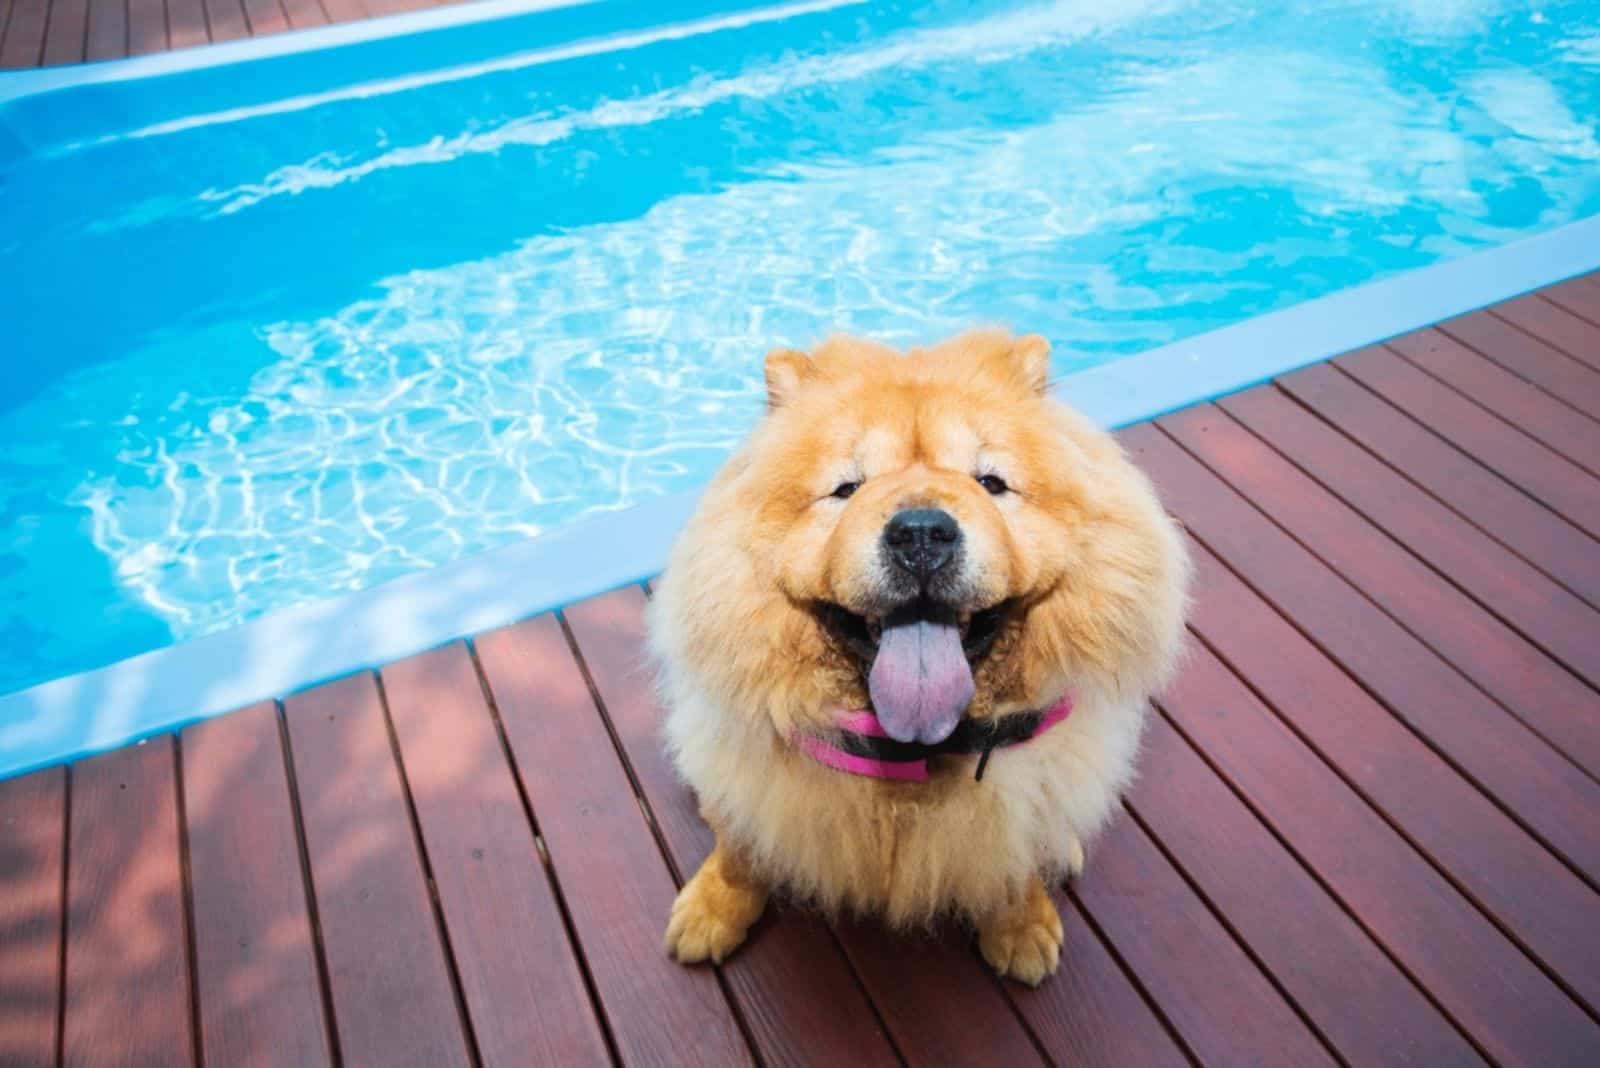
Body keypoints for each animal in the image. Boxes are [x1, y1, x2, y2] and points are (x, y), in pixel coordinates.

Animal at [646, 327, 1190, 984]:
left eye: (991, 483)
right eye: (846, 488)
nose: (923, 533)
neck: (915, 756)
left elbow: (1016, 859)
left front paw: (1021, 928)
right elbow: (738, 847)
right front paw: (713, 910)